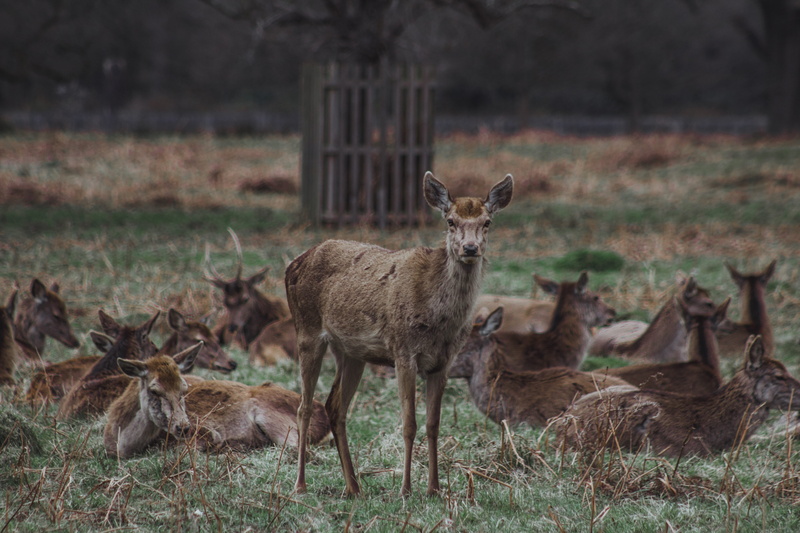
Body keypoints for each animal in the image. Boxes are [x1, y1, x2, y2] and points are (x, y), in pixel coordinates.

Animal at [104, 344, 331, 459]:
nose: (183, 427)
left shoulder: (205, 431)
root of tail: (324, 414)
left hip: (276, 420)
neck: (122, 443)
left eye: (184, 388)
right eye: (154, 390)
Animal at [286, 171, 513, 497]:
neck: (438, 319)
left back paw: (354, 486)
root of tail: (293, 264)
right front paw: (406, 489)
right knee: (304, 406)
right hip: (306, 329)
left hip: (351, 352)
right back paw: (301, 484)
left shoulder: (443, 362)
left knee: (335, 406)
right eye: (451, 221)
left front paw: (434, 488)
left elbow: (433, 425)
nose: (470, 248)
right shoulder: (403, 351)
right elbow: (409, 424)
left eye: (487, 222)